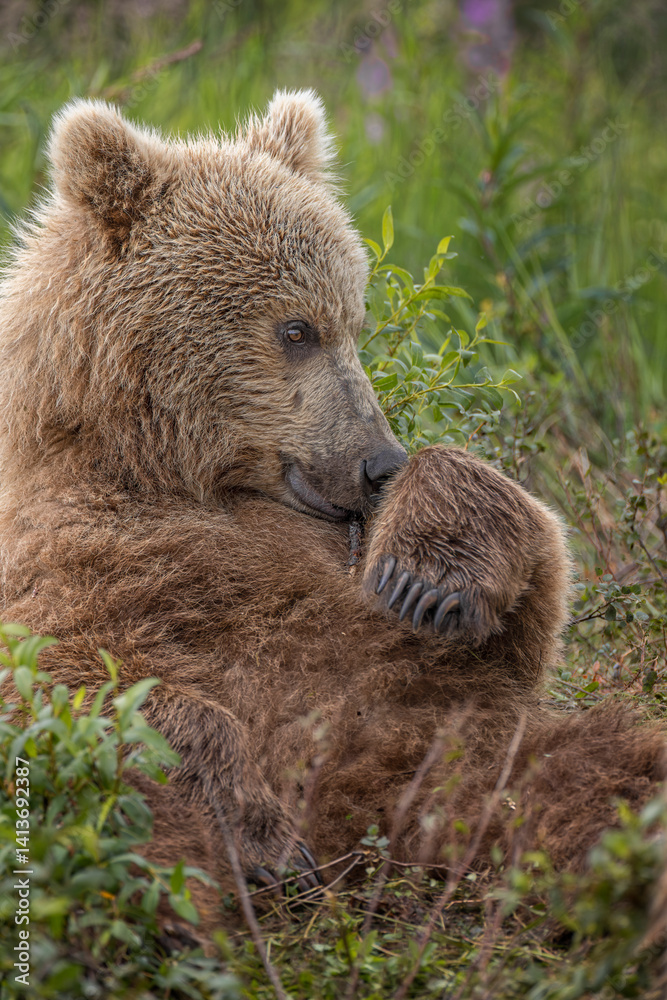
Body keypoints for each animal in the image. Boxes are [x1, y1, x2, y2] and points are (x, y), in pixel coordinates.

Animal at [0, 91, 664, 937]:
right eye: (296, 329)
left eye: (352, 318)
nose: (378, 462)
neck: (154, 466)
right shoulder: (64, 559)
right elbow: (75, 683)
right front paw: (262, 832)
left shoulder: (368, 605)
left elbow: (519, 612)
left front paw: (428, 576)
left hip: (476, 760)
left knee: (597, 771)